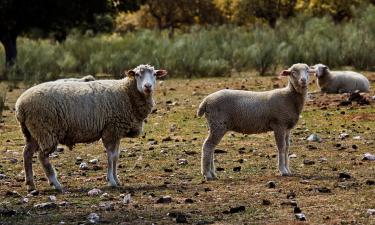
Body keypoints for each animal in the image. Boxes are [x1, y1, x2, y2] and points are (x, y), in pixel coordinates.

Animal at [15, 63, 167, 192]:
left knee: (27, 153)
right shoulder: (111, 130)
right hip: (45, 130)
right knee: (42, 157)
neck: (126, 93)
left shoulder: (116, 132)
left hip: (33, 132)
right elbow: (111, 156)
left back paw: (30, 184)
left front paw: (117, 180)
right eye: (137, 74)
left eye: (154, 74)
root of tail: (20, 106)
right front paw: (111, 181)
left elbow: (116, 156)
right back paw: (56, 184)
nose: (148, 86)